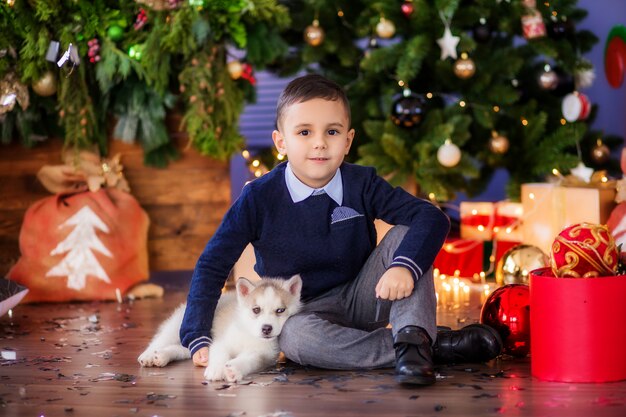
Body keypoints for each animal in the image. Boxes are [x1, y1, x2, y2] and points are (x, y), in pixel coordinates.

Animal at [137, 274, 302, 382]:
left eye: (280, 310)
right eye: (256, 310)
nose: (266, 329)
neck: (249, 333)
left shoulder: (263, 355)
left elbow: (249, 360)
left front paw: (233, 369)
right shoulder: (221, 341)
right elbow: (219, 354)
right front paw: (216, 369)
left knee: (184, 349)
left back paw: (162, 356)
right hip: (180, 325)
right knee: (160, 339)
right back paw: (148, 355)